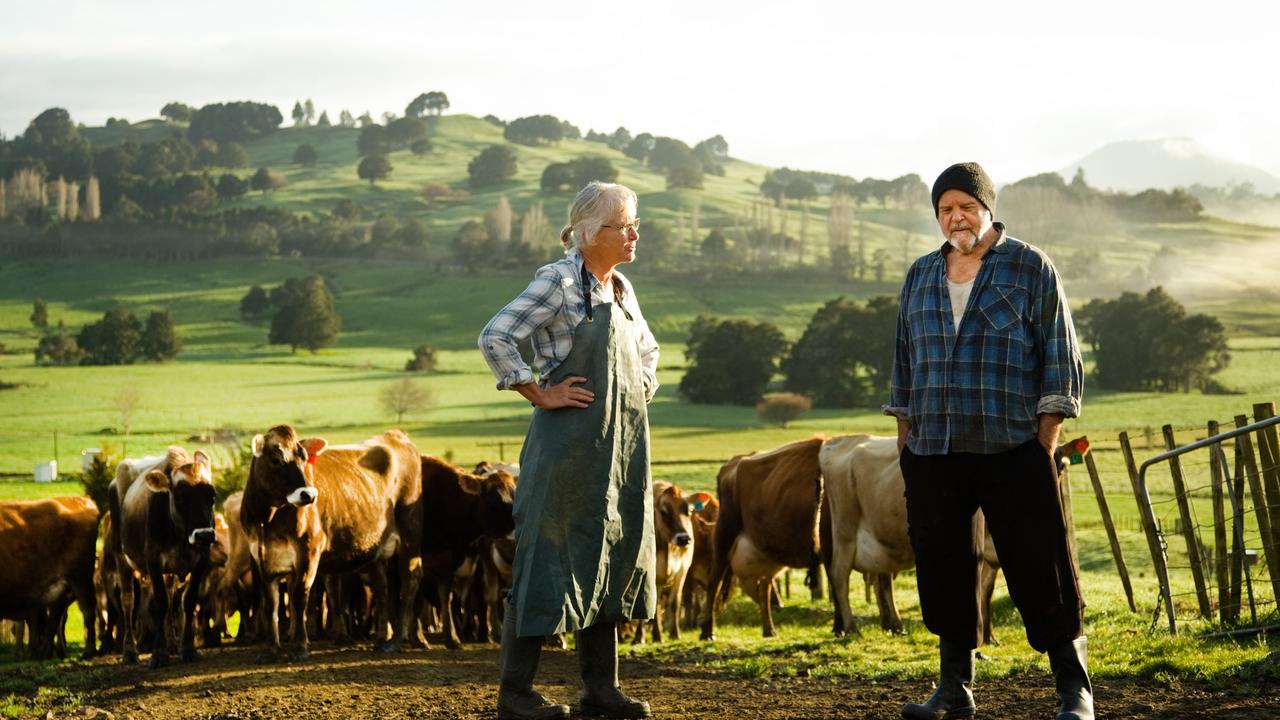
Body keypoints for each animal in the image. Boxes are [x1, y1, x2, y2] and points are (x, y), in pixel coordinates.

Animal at [0, 497, 99, 661]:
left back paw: (88, 652)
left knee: (87, 609)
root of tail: (81, 500)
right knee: (54, 619)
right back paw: (44, 653)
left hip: (80, 577)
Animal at [113, 445, 218, 666]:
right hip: (121, 556)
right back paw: (130, 652)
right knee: (128, 601)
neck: (180, 537)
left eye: (212, 496)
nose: (204, 534)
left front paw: (187, 648)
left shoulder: (201, 559)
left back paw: (172, 644)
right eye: (178, 498)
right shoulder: (152, 560)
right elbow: (160, 603)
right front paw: (158, 654)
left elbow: (187, 600)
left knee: (171, 598)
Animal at [238, 422, 422, 661]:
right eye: (276, 460)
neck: (267, 520)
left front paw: (300, 647)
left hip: (410, 534)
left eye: (304, 458)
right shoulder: (261, 556)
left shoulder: (308, 550)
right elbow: (271, 604)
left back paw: (396, 641)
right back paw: (382, 639)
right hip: (378, 549)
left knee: (410, 582)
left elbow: (299, 597)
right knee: (382, 586)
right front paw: (271, 650)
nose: (308, 494)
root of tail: (394, 435)